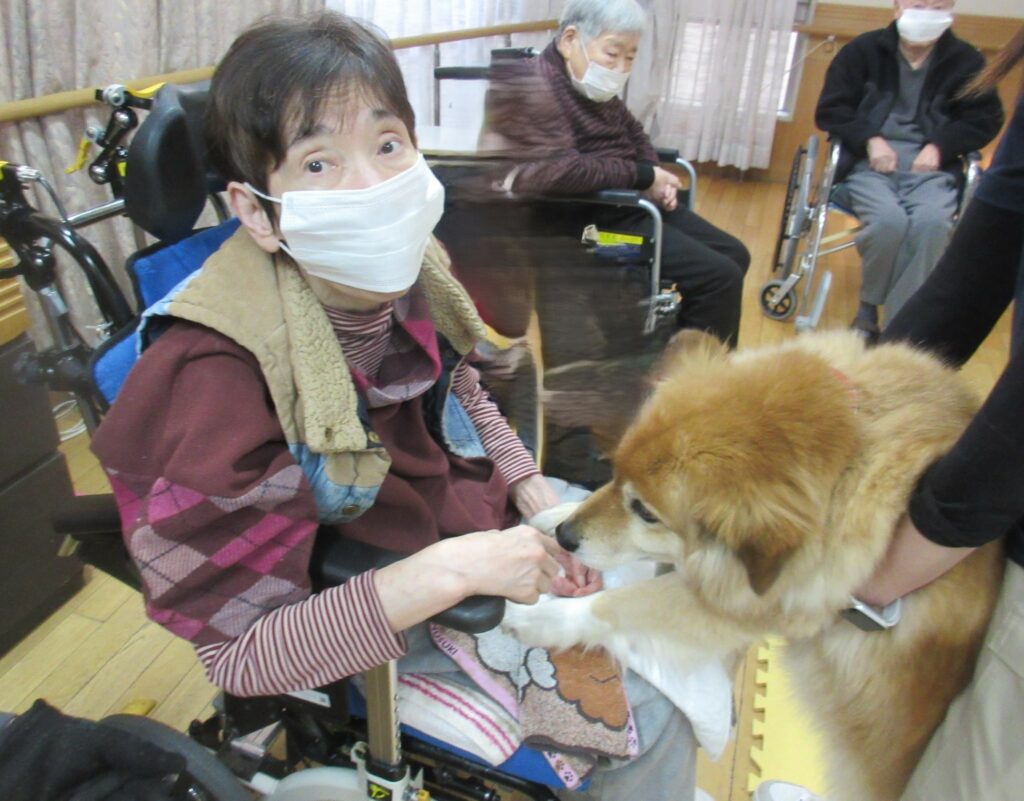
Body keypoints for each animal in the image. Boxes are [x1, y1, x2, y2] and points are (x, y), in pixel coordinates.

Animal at [503, 329, 1005, 801]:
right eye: (614, 471)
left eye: (645, 511)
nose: (566, 537)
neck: (848, 453)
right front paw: (550, 516)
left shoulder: (759, 606)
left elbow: (620, 602)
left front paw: (535, 618)